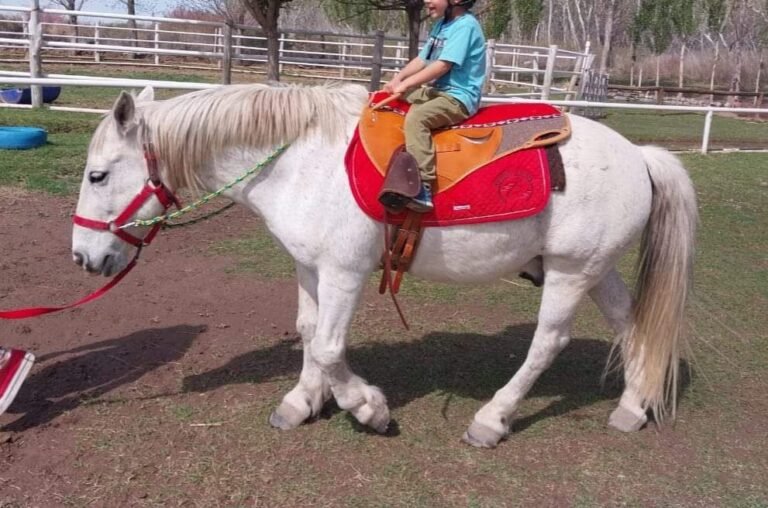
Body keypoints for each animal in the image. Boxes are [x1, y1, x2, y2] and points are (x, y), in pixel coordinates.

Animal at [71, 83, 697, 448]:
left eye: (98, 175)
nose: (84, 257)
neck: (301, 159)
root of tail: (640, 156)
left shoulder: (345, 273)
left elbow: (329, 348)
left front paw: (367, 408)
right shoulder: (310, 269)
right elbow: (308, 333)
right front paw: (302, 401)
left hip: (568, 273)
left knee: (548, 342)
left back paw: (492, 419)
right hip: (595, 268)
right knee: (631, 324)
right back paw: (632, 406)